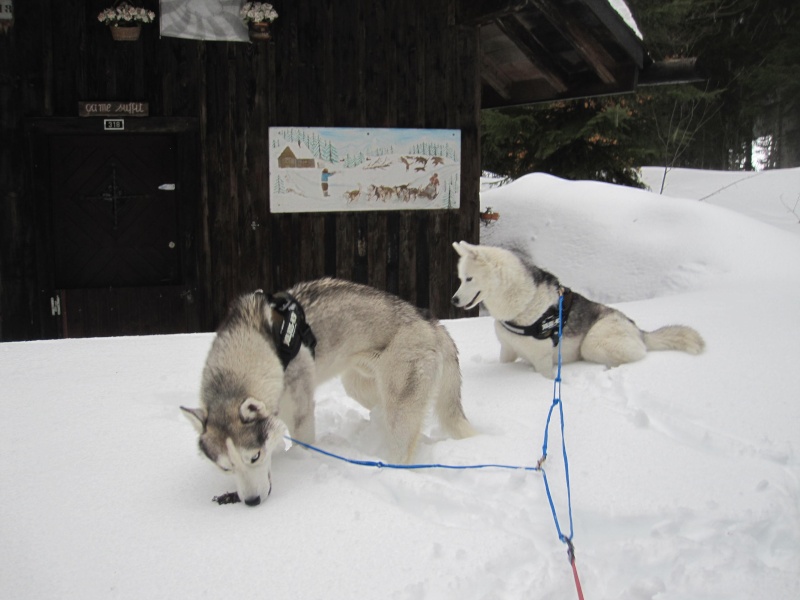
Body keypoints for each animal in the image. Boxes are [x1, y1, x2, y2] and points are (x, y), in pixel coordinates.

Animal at [181, 278, 476, 506]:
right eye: (225, 467)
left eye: (254, 457)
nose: (252, 502)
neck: (265, 348)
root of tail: (432, 323)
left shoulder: (300, 411)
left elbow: (301, 442)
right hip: (358, 384)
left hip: (398, 407)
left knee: (401, 449)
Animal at [454, 241, 704, 378]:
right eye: (460, 278)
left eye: (469, 279)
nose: (454, 300)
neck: (522, 305)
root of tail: (639, 330)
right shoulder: (507, 350)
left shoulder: (543, 361)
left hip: (592, 344)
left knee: (637, 354)